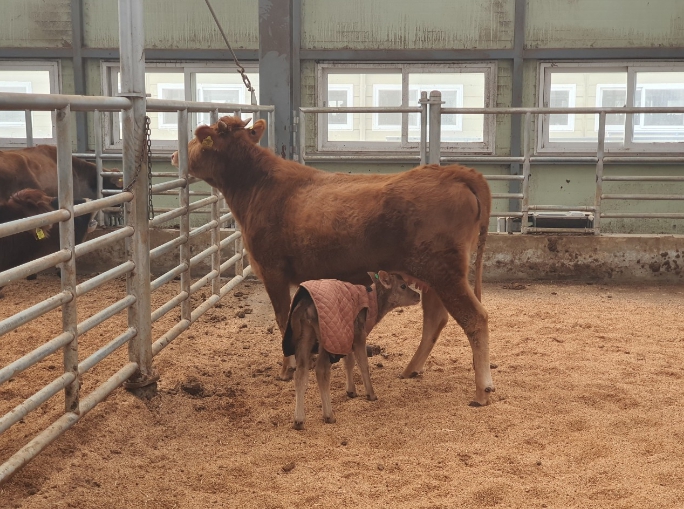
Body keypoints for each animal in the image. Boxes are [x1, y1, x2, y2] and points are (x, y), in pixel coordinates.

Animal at [176, 115, 496, 404]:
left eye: (197, 138)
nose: (175, 153)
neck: (257, 187)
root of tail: (455, 172)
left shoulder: (272, 269)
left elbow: (281, 318)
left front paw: (287, 369)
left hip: (443, 271)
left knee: (474, 318)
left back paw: (482, 390)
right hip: (432, 274)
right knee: (435, 319)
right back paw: (411, 370)